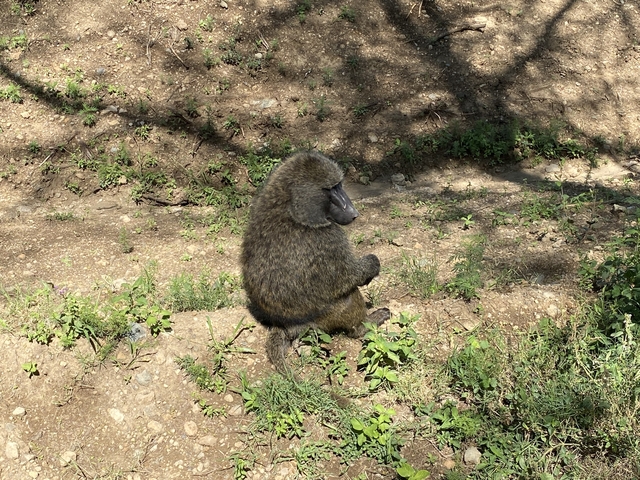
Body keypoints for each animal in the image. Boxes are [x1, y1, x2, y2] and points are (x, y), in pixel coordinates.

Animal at [240, 151, 390, 375]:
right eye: (330, 189)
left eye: (339, 185)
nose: (353, 212)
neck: (287, 208)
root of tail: (285, 326)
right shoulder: (330, 239)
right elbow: (348, 278)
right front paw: (372, 265)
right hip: (323, 319)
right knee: (348, 298)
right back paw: (365, 326)